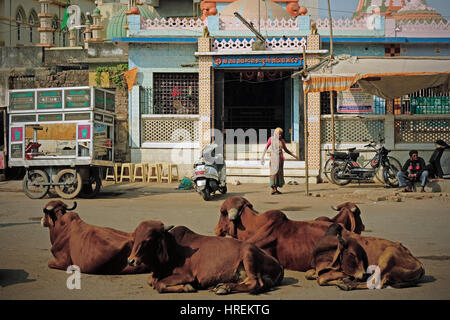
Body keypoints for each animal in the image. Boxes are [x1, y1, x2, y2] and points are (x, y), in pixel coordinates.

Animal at [126, 220, 284, 296]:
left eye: (148, 240)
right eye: (134, 238)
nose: (130, 260)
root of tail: (279, 265)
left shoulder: (186, 275)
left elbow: (159, 285)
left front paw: (187, 287)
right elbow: (151, 281)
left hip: (248, 252)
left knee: (254, 283)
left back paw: (223, 288)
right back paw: (222, 287)